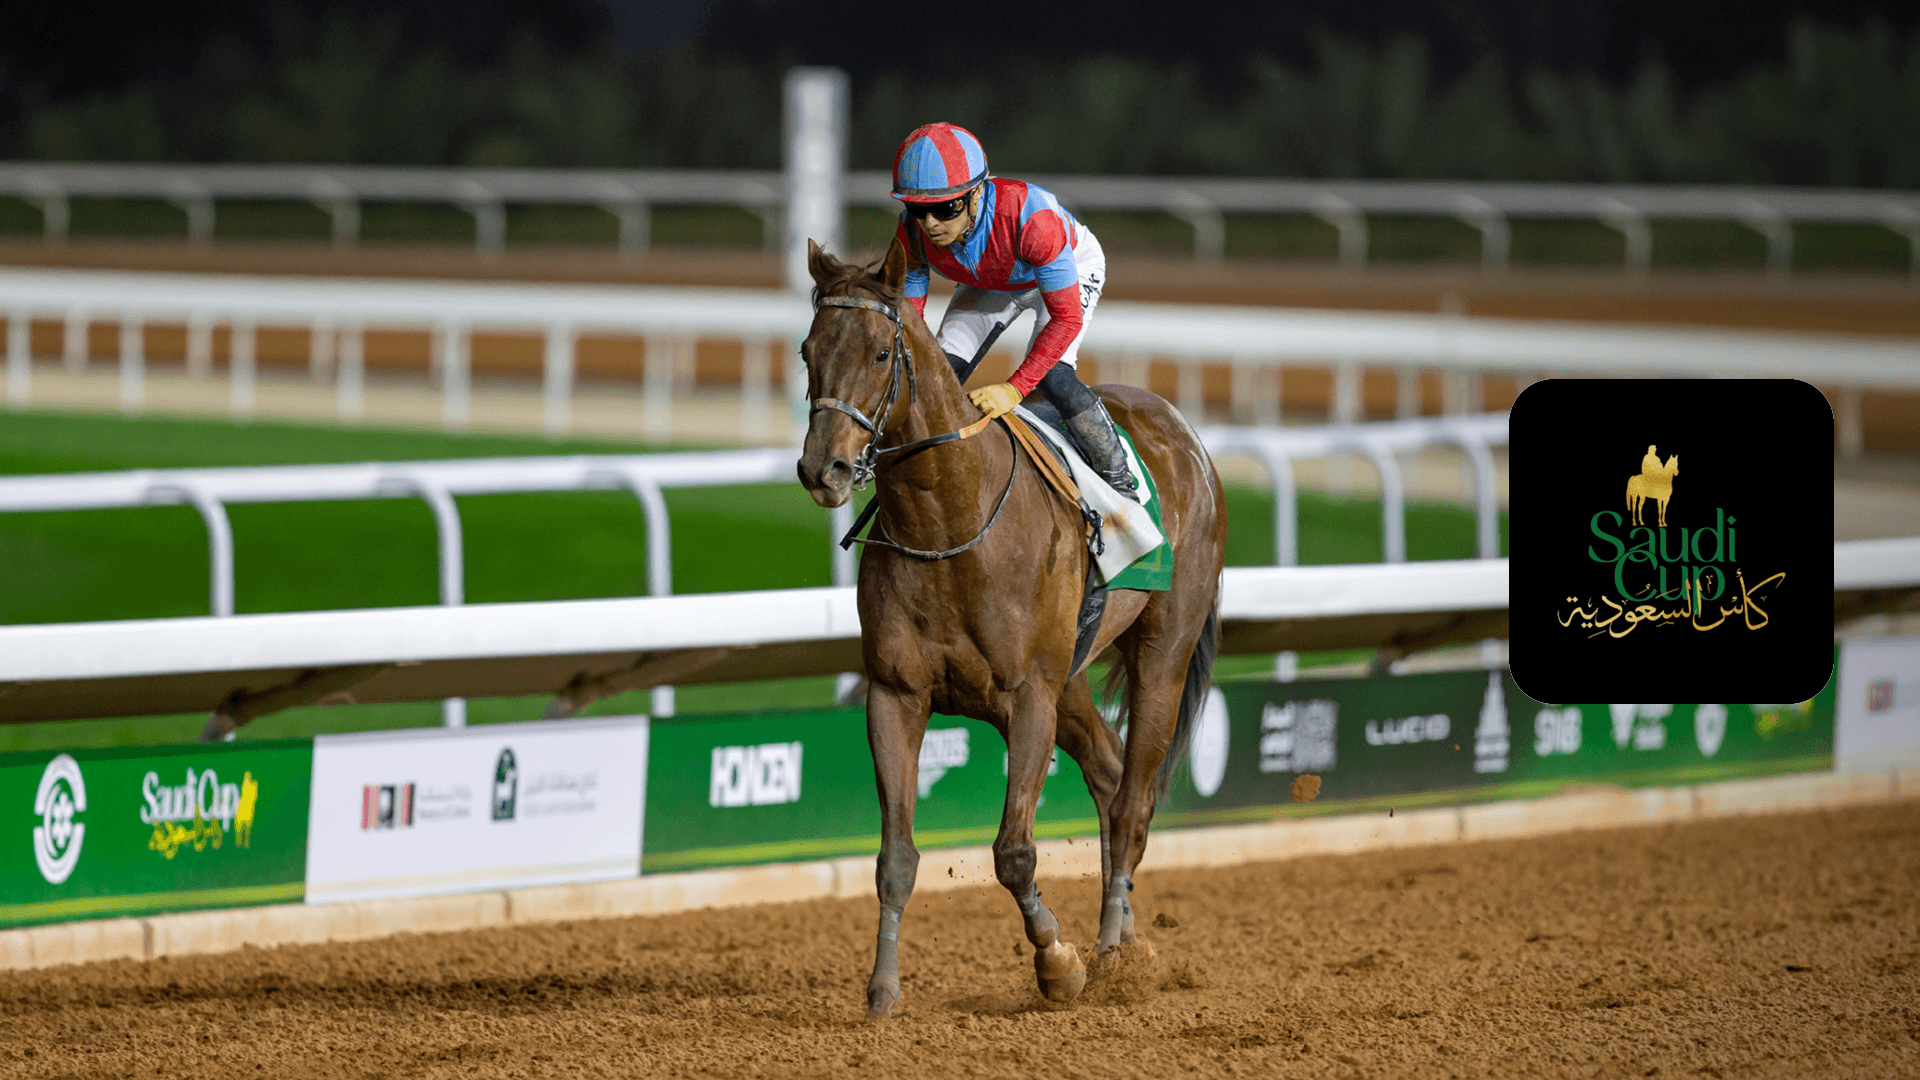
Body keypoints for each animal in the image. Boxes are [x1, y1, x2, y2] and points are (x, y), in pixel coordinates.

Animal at [795, 239, 1227, 1018]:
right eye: (808, 350)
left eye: (880, 353)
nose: (824, 469)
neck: (949, 521)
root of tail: (1182, 433)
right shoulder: (896, 694)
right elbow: (895, 858)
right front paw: (883, 992)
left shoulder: (1028, 700)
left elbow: (1014, 852)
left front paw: (1059, 965)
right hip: (1073, 672)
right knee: (1110, 772)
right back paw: (1125, 939)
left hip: (1163, 651)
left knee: (1133, 801)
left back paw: (1111, 952)